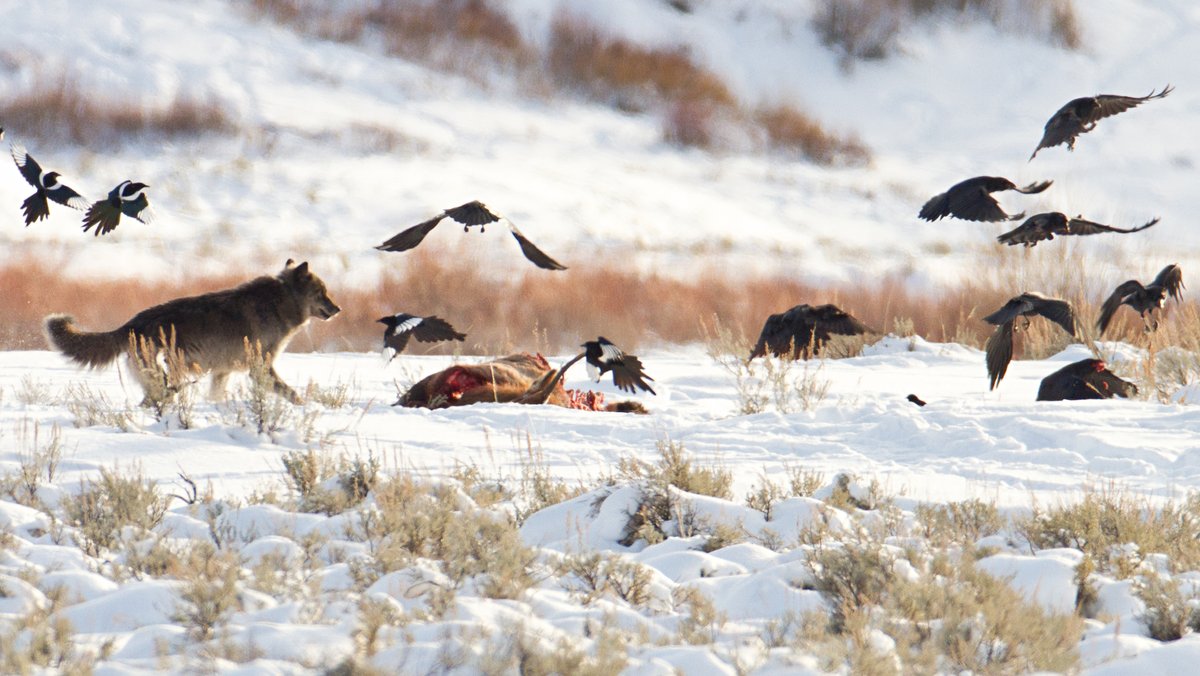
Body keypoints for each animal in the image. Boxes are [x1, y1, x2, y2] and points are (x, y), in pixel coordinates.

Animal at [44, 260, 340, 403]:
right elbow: (293, 395)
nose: (338, 309)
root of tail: (132, 323)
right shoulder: (260, 369)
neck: (281, 301)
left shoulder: (223, 372)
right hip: (168, 378)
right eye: (322, 293)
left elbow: (216, 397)